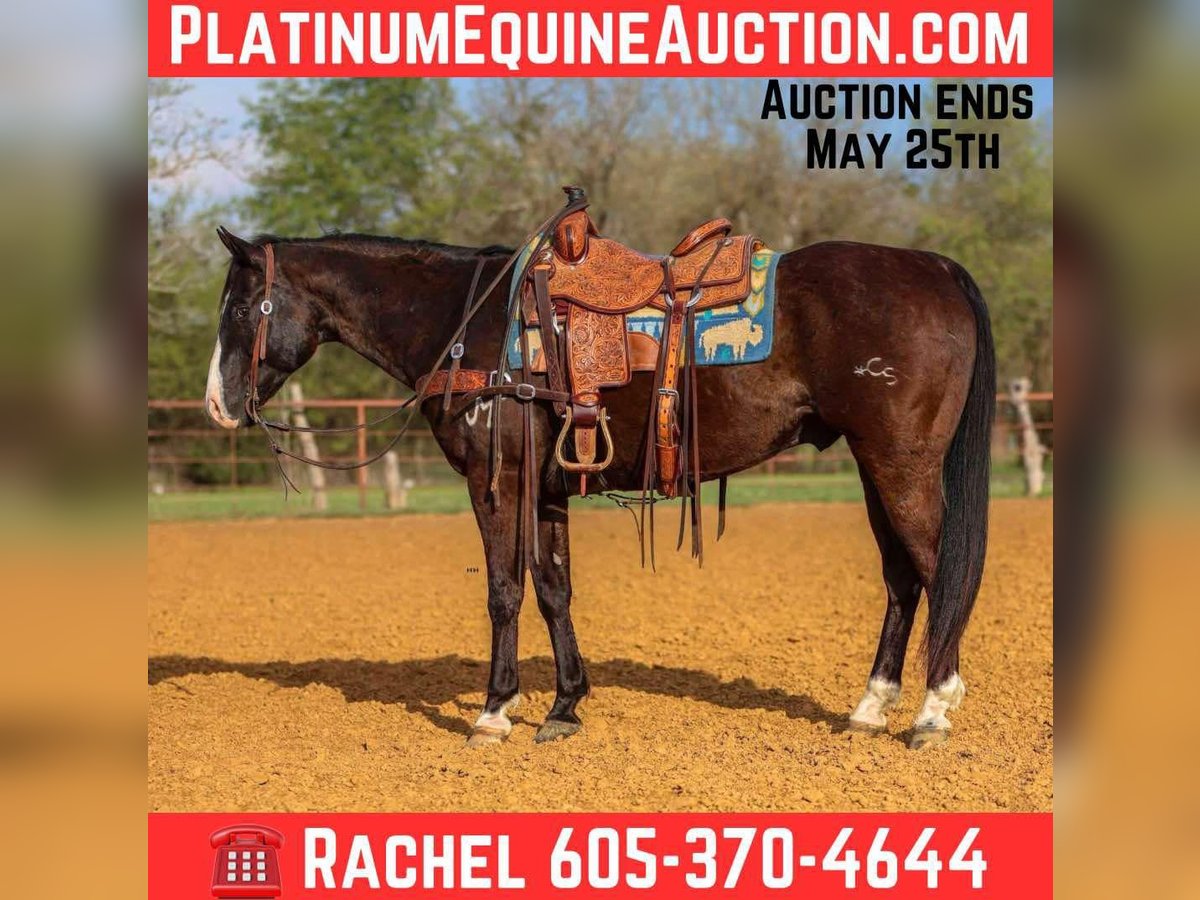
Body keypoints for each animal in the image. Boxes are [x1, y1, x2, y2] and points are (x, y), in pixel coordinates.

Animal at [204, 220, 994, 750]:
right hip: (874, 463)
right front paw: (564, 705)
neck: (469, 324)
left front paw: (494, 711)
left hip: (901, 463)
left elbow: (504, 591)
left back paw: (931, 711)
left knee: (936, 569)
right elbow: (554, 589)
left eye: (239, 309)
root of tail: (935, 267)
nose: (217, 403)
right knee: (902, 578)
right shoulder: (547, 488)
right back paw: (870, 707)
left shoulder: (497, 483)